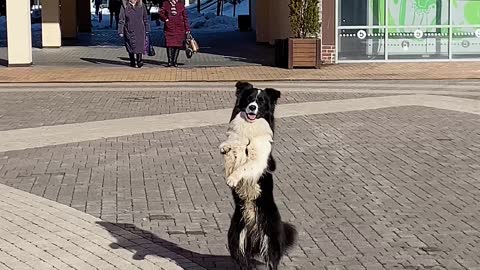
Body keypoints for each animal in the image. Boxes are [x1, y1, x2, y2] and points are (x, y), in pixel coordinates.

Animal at [220, 81, 296, 270]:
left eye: (261, 101)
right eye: (249, 99)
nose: (252, 107)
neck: (250, 128)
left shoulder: (261, 160)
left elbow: (245, 167)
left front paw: (232, 179)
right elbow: (233, 149)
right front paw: (226, 147)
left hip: (270, 242)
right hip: (236, 239)